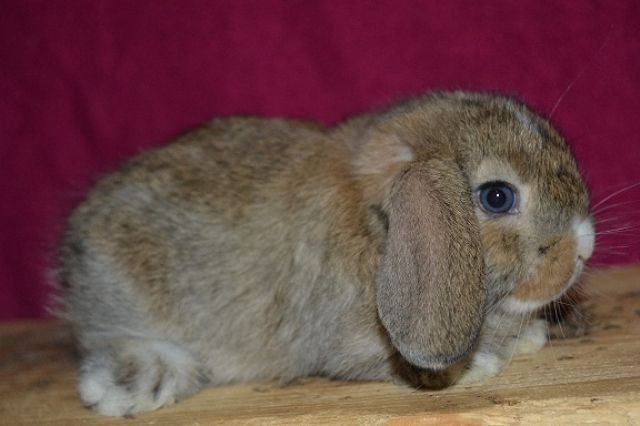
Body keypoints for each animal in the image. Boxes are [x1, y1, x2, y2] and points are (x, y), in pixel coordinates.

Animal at [57, 91, 595, 416]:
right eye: (496, 197)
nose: (584, 247)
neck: (378, 224)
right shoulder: (345, 340)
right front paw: (480, 363)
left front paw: (528, 337)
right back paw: (140, 380)